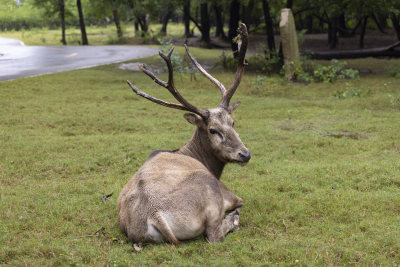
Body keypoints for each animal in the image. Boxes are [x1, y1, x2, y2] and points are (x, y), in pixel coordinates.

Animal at [118, 24, 250, 246]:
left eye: (233, 122)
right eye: (212, 130)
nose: (245, 154)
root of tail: (154, 214)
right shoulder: (227, 192)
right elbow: (241, 201)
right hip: (211, 190)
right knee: (213, 234)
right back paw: (233, 219)